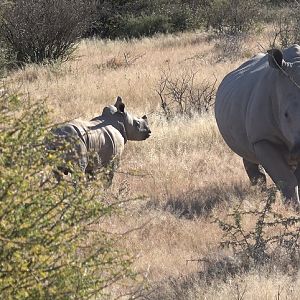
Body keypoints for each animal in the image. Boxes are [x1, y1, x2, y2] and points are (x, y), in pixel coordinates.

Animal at [214, 45, 300, 206]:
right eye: (285, 115)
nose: (298, 152)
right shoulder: (262, 138)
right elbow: (286, 180)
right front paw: (292, 208)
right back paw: (260, 190)